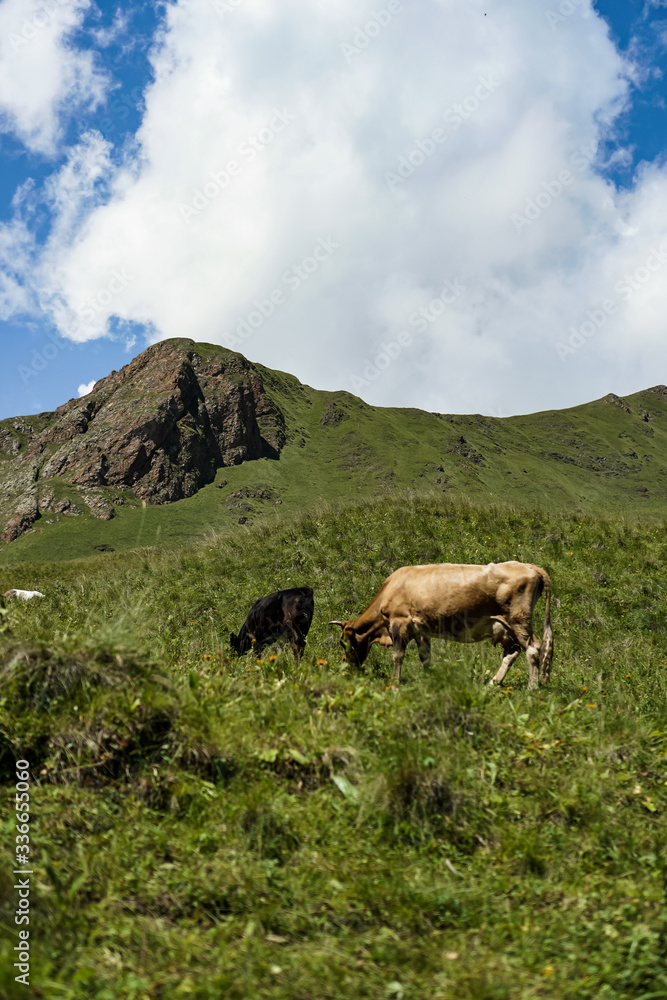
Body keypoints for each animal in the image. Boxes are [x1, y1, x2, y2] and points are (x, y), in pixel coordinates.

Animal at [328, 560, 552, 692]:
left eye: (343, 643)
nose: (350, 668)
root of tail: (530, 566)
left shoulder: (399, 622)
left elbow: (398, 655)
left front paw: (395, 684)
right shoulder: (420, 630)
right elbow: (425, 656)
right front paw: (432, 679)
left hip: (519, 621)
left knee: (533, 650)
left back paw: (532, 688)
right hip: (506, 628)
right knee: (511, 653)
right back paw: (493, 682)